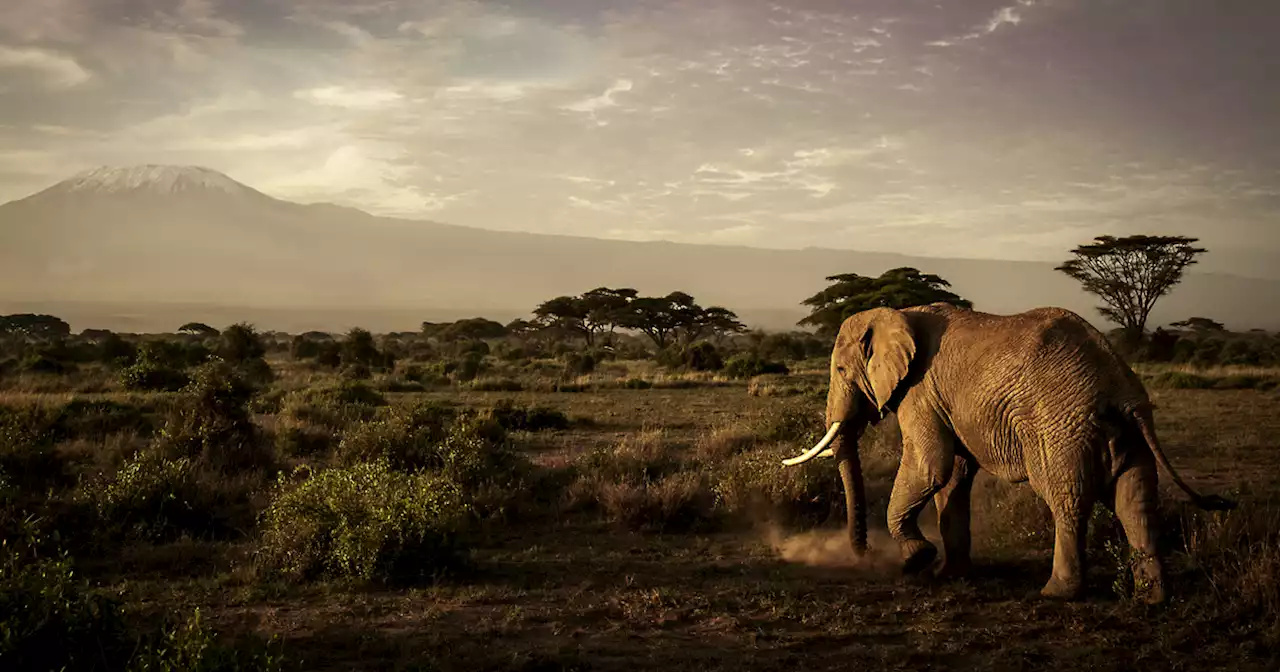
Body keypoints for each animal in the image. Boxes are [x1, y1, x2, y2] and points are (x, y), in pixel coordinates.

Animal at [783, 300, 1233, 599]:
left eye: (841, 369)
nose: (863, 555)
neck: (896, 313)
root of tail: (1123, 389)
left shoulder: (920, 391)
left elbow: (930, 466)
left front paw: (916, 561)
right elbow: (953, 478)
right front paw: (949, 574)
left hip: (1060, 428)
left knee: (1066, 500)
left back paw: (1056, 593)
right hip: (1126, 435)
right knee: (1136, 502)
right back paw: (1152, 599)